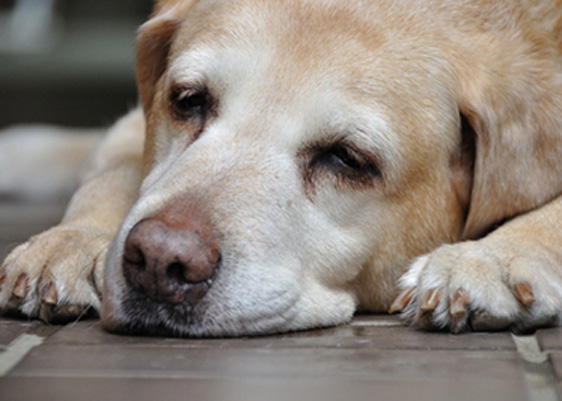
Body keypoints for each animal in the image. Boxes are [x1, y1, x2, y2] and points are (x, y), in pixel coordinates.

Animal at [1, 0, 560, 336]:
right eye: (188, 100)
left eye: (346, 158)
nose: (160, 260)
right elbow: (116, 169)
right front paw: (72, 240)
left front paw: (494, 256)